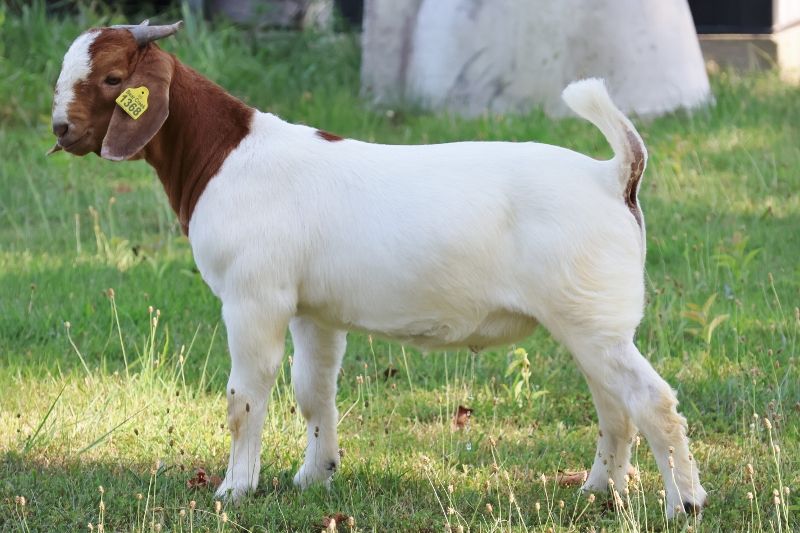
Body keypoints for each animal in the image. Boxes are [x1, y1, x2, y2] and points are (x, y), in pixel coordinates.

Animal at [51, 21, 707, 516]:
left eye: (113, 78)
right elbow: (313, 391)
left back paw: (684, 503)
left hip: (593, 320)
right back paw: (599, 491)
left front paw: (235, 489)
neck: (226, 155)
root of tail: (612, 174)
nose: (61, 129)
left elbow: (246, 396)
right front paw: (314, 476)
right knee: (614, 406)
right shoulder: (312, 311)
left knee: (651, 401)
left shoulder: (253, 298)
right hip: (589, 321)